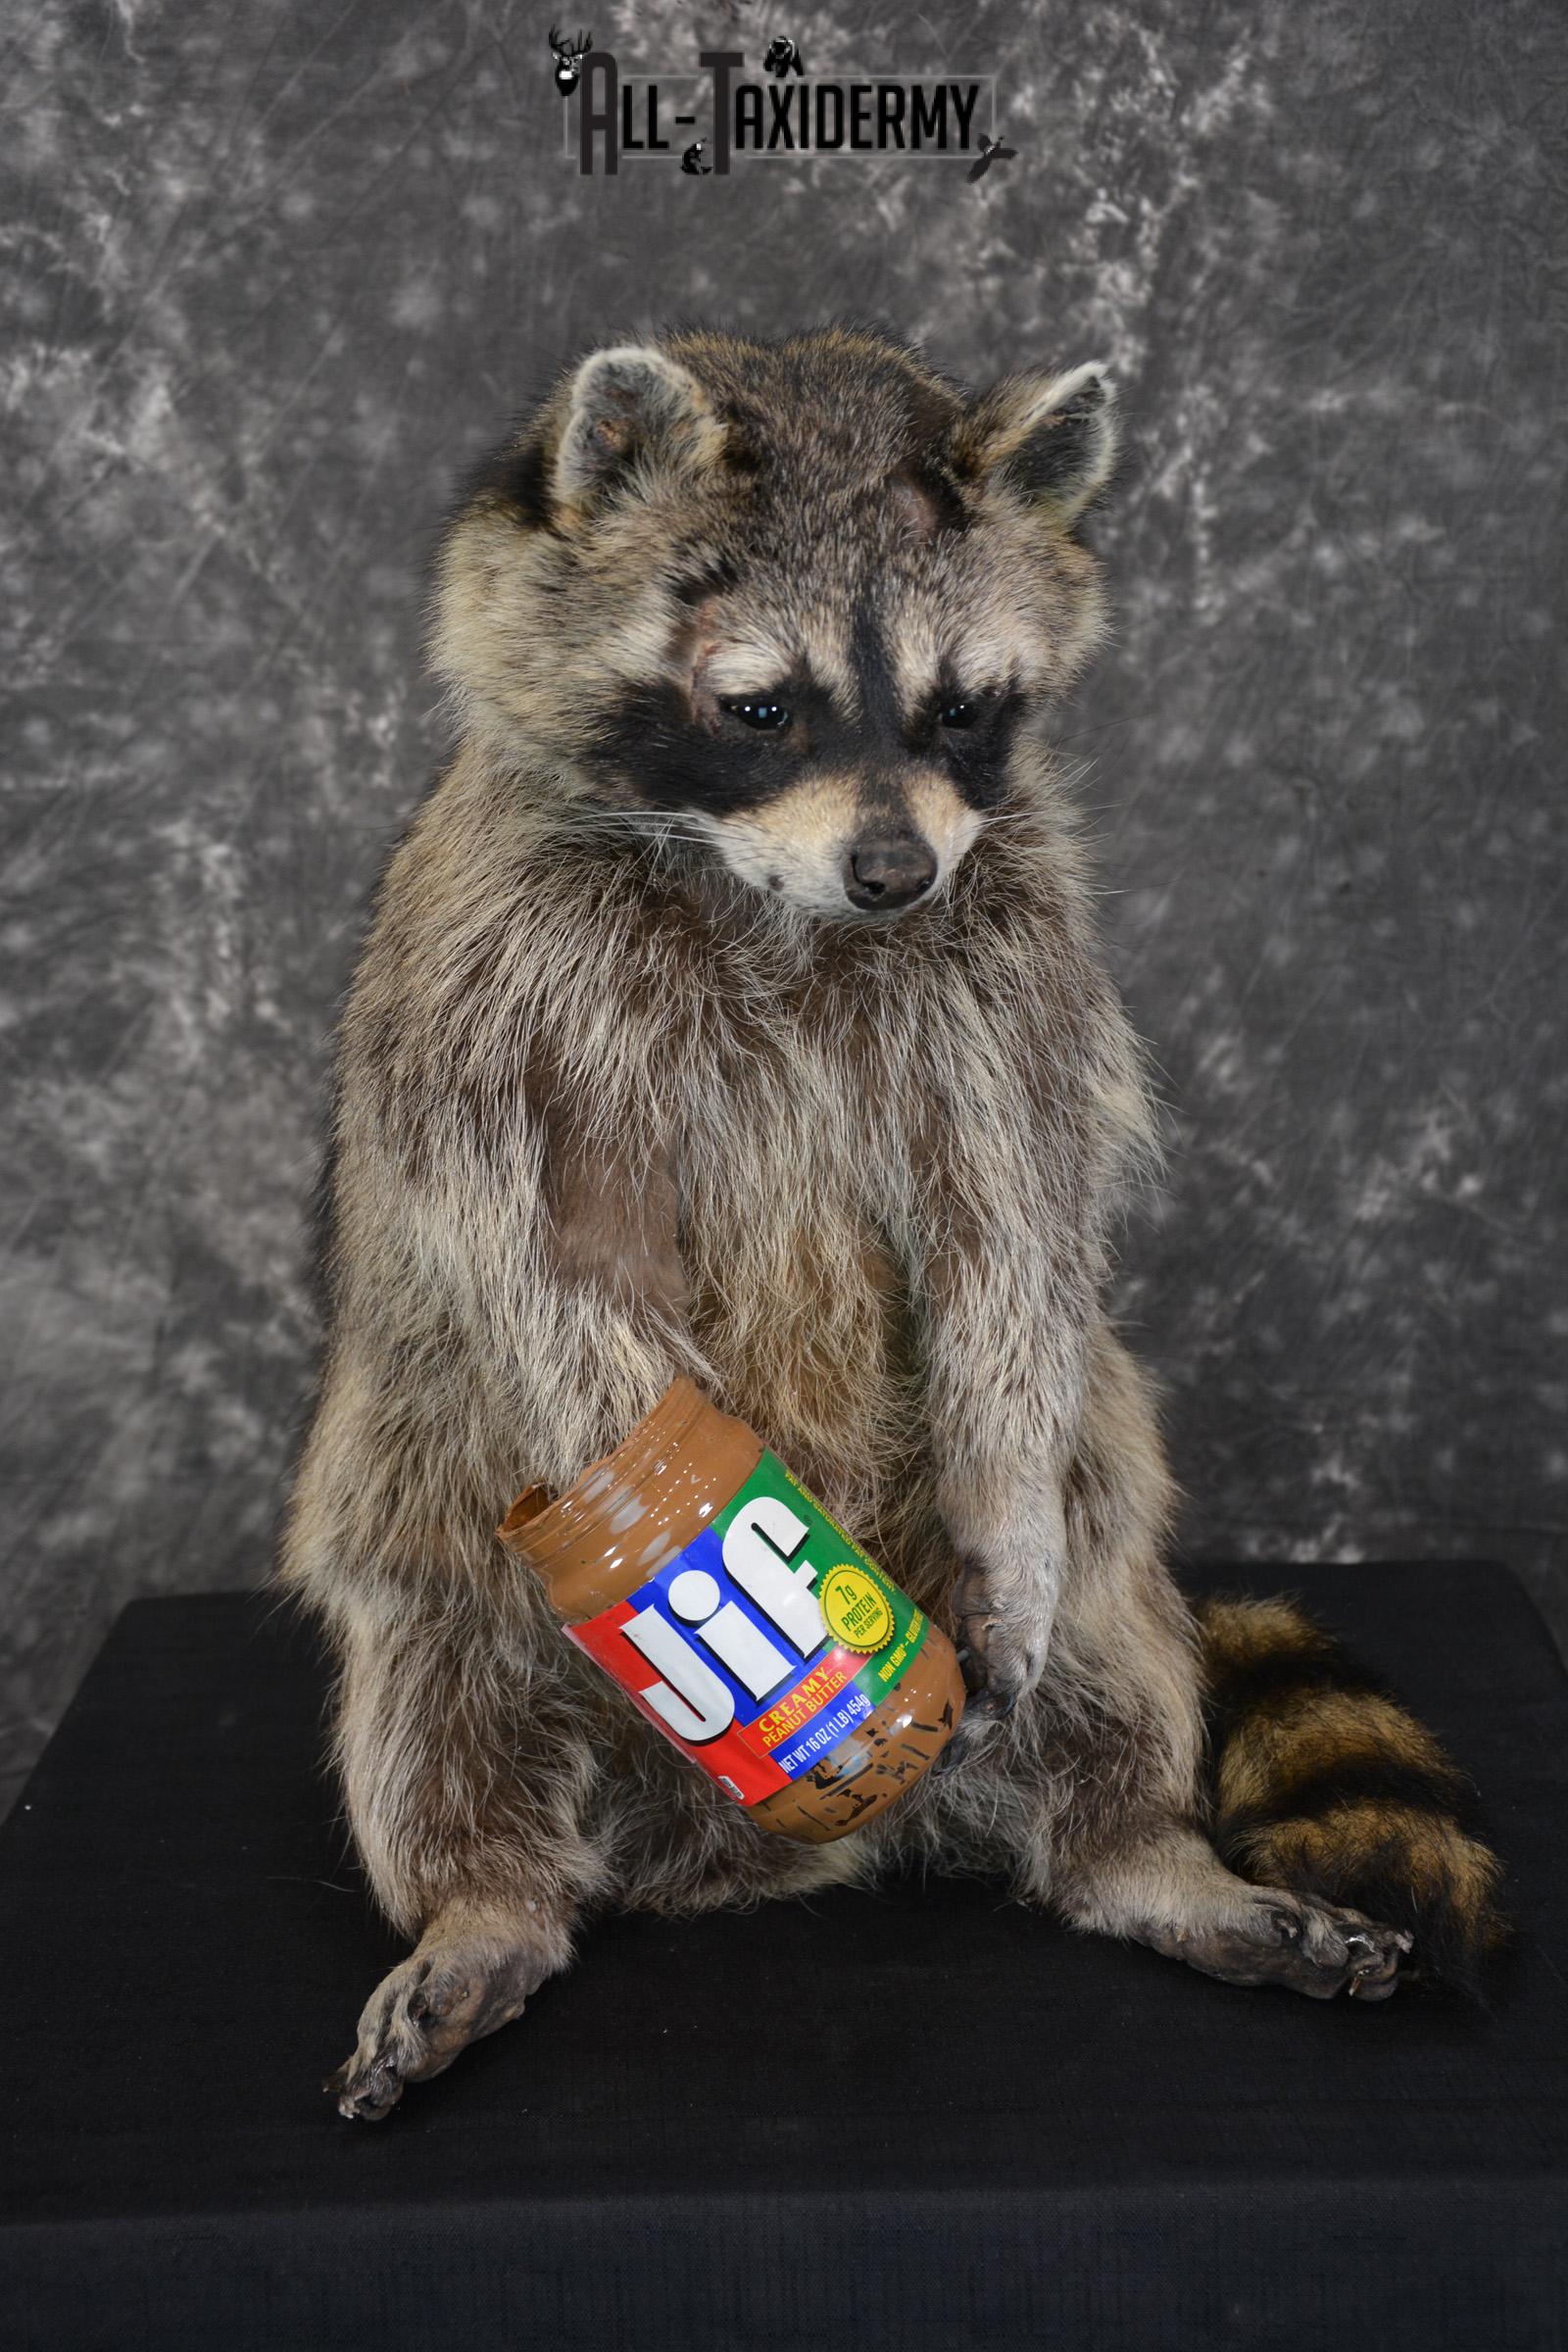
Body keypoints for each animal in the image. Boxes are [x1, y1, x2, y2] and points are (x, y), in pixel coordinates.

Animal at [280, 325, 1505, 2122]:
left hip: (1087, 1485)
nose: (891, 873)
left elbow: (1014, 1224)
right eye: (759, 707)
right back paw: (484, 1900)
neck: (775, 891)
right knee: (438, 1676)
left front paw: (995, 1553)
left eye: (963, 706)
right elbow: (547, 1261)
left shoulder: (1018, 951)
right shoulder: (494, 972)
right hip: (420, 1471)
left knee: (1104, 1599)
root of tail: (756, 1861)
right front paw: (709, 1559)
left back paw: (1140, 1851)